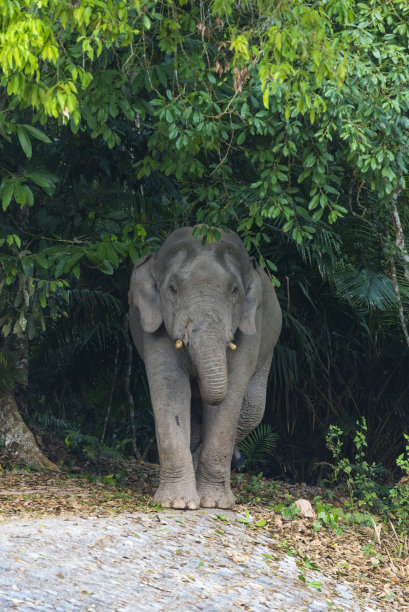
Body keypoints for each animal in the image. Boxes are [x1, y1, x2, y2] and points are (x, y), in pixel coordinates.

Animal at [127, 227, 280, 510]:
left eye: (234, 290)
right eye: (173, 289)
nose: (242, 460)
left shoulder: (251, 329)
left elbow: (230, 398)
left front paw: (216, 503)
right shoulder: (154, 325)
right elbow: (171, 390)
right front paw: (177, 503)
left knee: (252, 409)